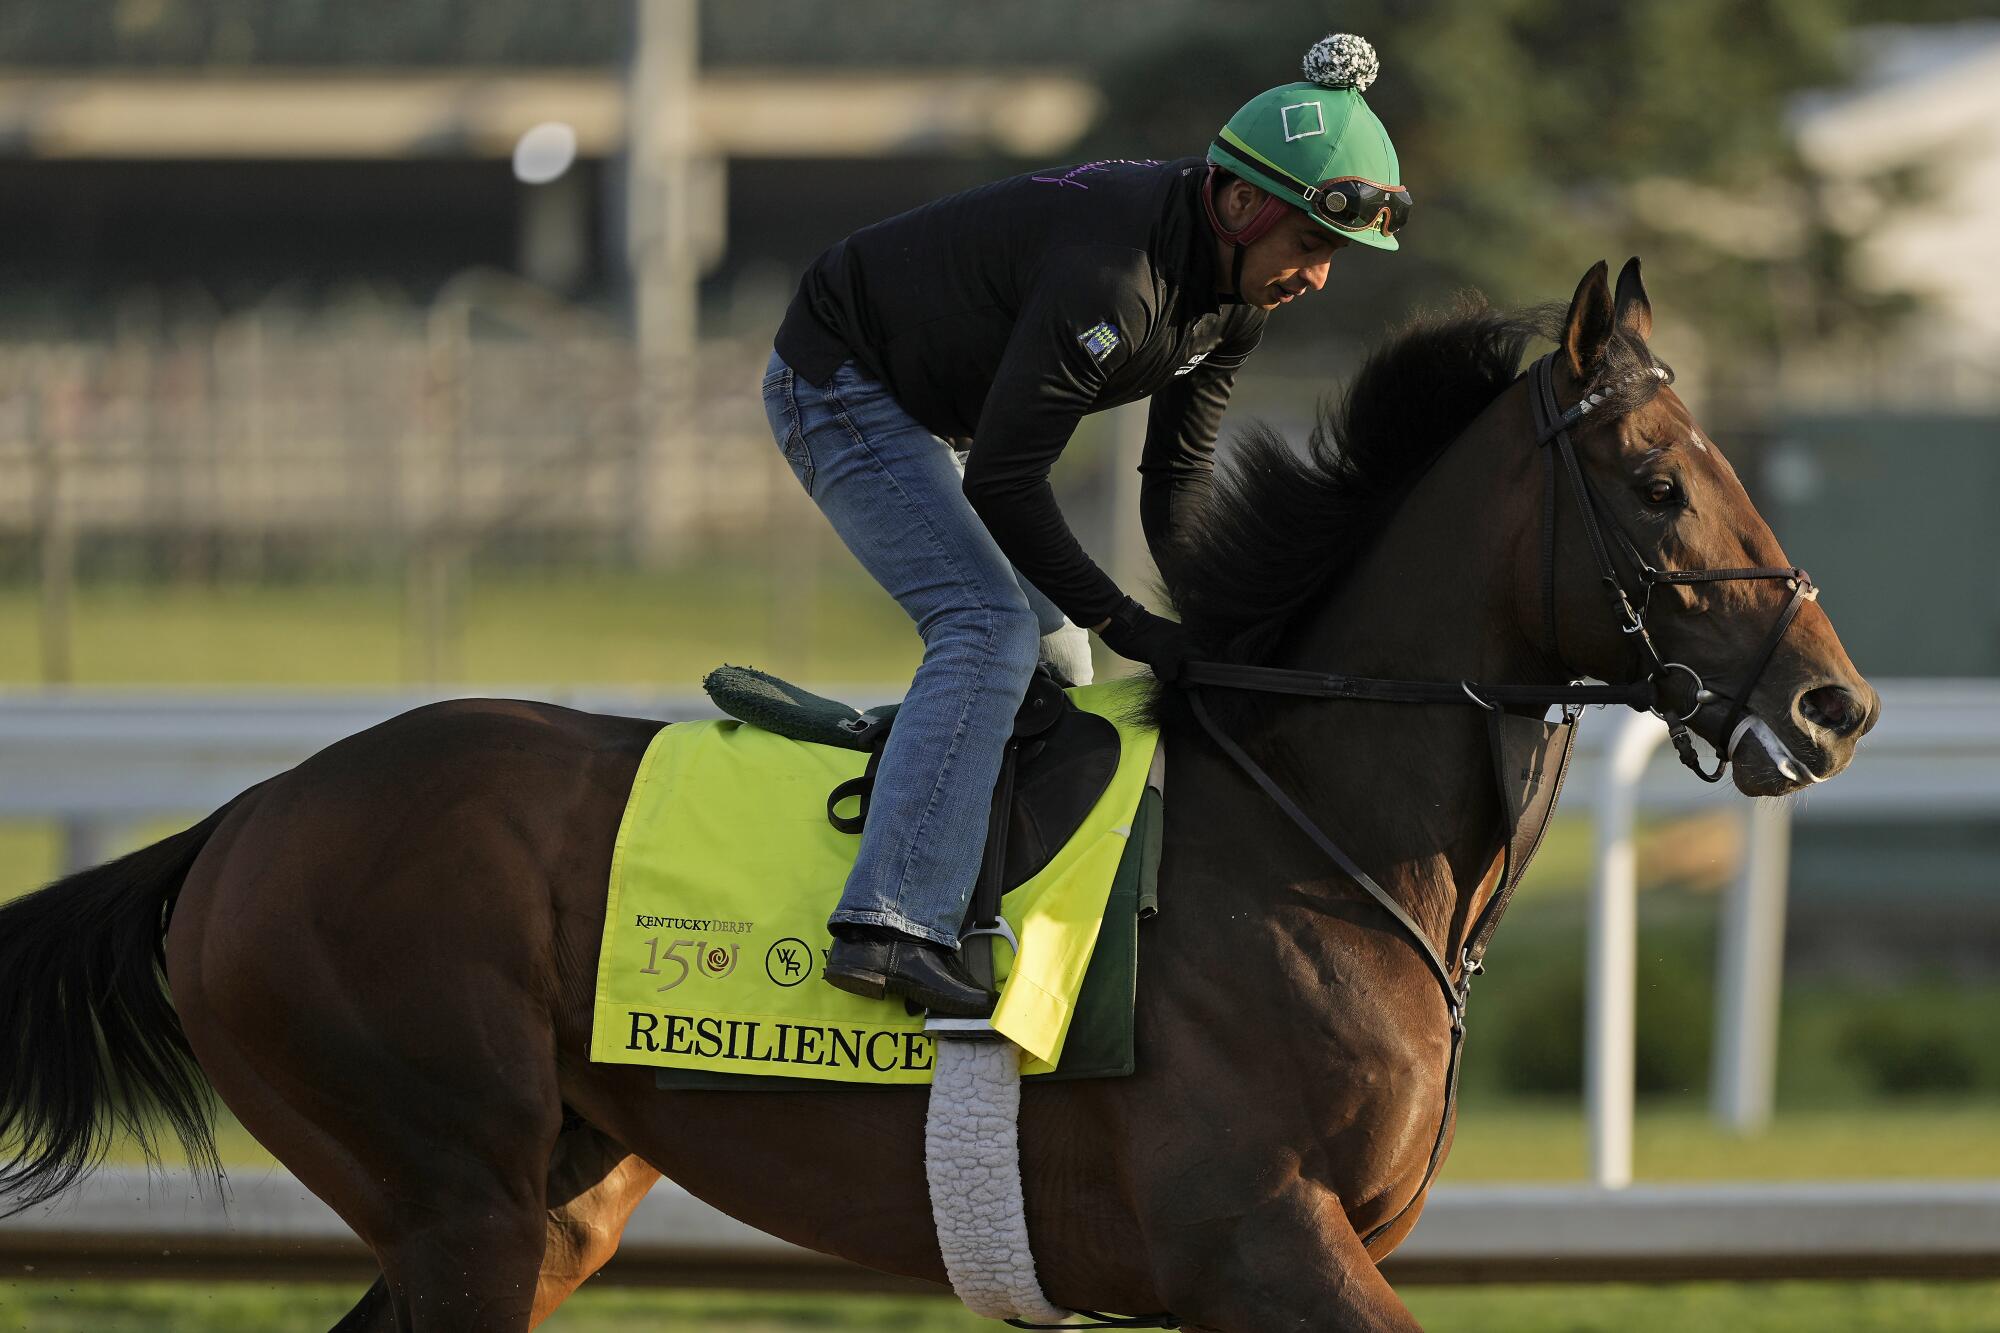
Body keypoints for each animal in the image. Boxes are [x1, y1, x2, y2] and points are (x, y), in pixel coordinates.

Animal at [0, 262, 1872, 1328]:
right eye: (1658, 482)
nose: (1834, 701)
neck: (1312, 836)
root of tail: (241, 822)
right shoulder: (1262, 1236)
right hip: (456, 1191)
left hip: (547, 1204)